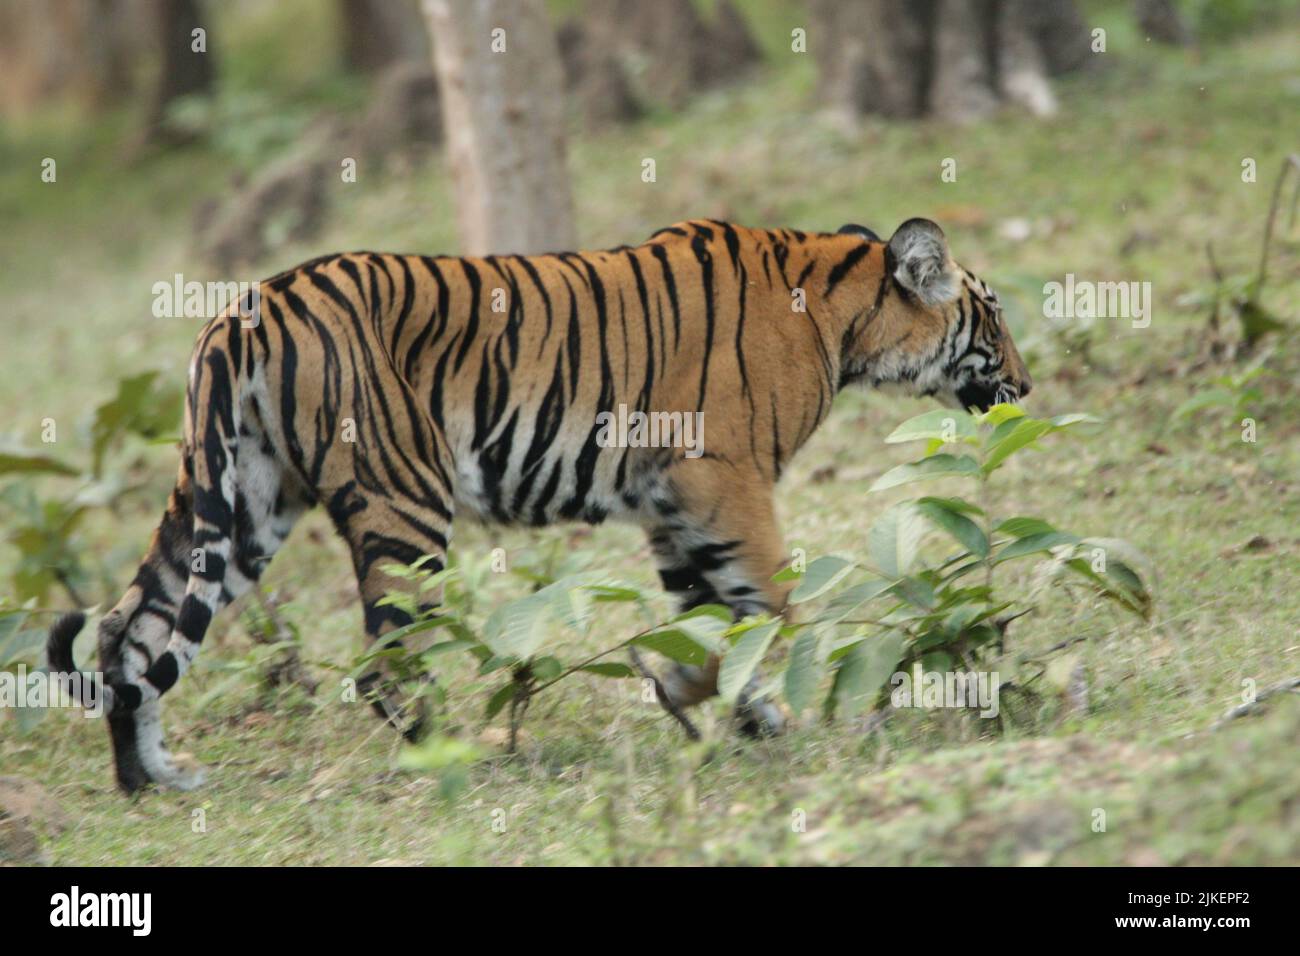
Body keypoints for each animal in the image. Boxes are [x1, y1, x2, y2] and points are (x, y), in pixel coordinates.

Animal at [48, 217, 1024, 790]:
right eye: (997, 316)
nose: (1025, 383)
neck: (847, 311)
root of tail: (245, 309)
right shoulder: (722, 478)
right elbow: (773, 609)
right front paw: (758, 708)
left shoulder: (672, 503)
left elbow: (709, 620)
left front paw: (722, 709)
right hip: (404, 499)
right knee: (383, 664)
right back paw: (465, 761)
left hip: (242, 501)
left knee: (131, 630)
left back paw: (150, 780)